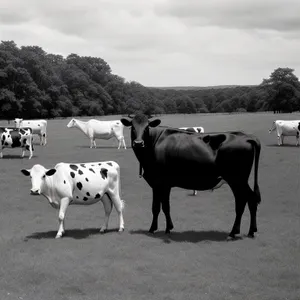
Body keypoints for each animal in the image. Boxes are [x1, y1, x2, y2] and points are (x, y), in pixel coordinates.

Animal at [120, 113, 262, 240]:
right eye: (132, 127)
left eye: (147, 127)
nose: (138, 143)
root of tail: (246, 136)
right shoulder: (162, 184)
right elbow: (163, 207)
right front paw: (166, 228)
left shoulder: (160, 183)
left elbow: (158, 207)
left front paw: (155, 229)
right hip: (239, 181)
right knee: (250, 199)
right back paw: (250, 231)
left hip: (237, 180)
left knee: (243, 201)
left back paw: (233, 233)